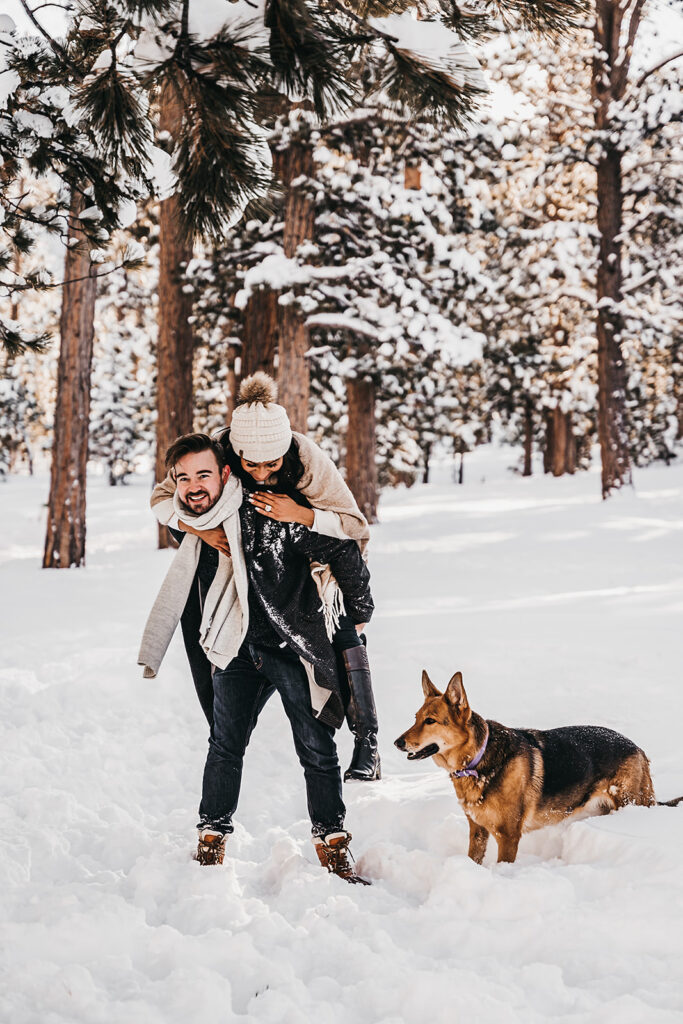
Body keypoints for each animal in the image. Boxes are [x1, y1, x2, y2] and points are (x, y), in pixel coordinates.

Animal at [393, 671, 679, 864]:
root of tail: (638, 748)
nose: (397, 742)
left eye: (430, 721)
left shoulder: (508, 836)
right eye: (415, 718)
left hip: (631, 802)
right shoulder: (478, 831)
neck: (477, 760)